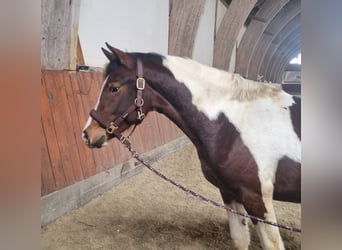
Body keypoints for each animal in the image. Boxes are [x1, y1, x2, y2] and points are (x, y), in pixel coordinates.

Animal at [82, 43, 300, 250]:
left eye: (114, 88)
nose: (87, 134)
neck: (232, 125)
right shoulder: (230, 193)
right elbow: (239, 240)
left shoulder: (258, 200)